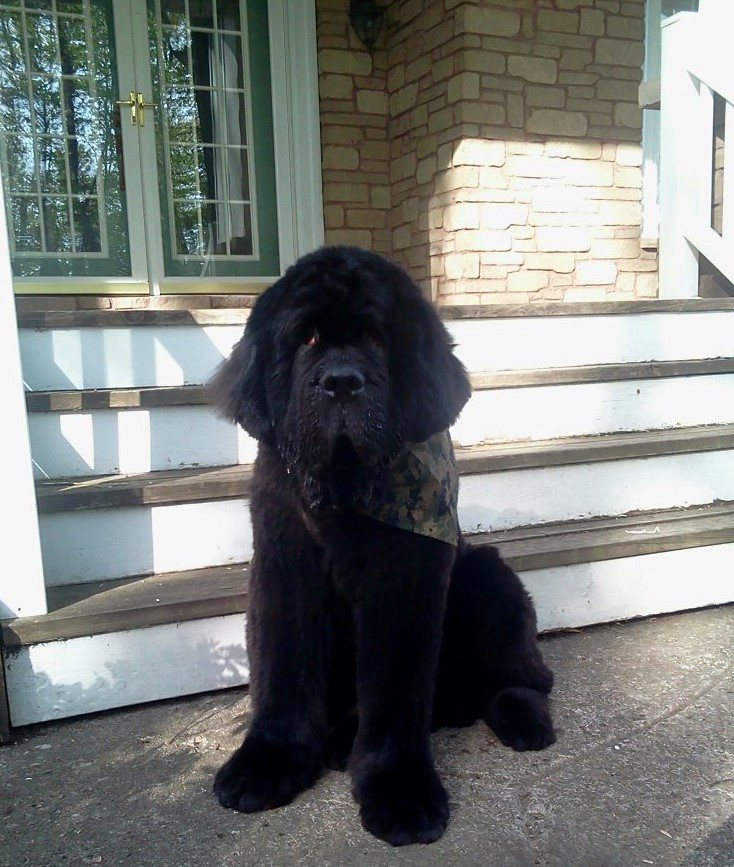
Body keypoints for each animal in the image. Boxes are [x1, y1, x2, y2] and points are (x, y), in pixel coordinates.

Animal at [210, 246, 556, 848]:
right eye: (306, 338)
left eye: (375, 338)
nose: (342, 383)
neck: (346, 495)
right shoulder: (283, 568)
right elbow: (282, 668)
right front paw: (267, 762)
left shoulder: (404, 582)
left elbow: (396, 690)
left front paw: (400, 791)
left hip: (490, 577)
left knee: (522, 676)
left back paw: (522, 716)